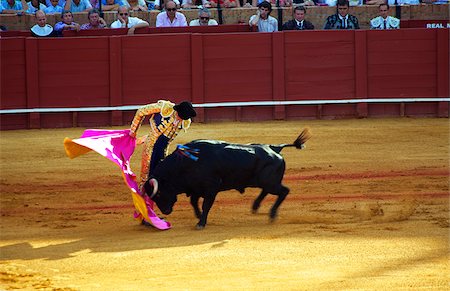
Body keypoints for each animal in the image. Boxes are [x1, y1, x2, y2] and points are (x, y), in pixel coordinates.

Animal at [144, 129, 310, 229]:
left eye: (159, 193)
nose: (165, 211)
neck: (184, 164)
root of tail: (274, 148)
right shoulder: (196, 188)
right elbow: (194, 202)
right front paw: (198, 216)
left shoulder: (211, 188)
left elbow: (205, 205)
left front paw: (201, 223)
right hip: (266, 181)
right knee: (266, 191)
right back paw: (255, 206)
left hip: (270, 182)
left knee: (283, 191)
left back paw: (272, 214)